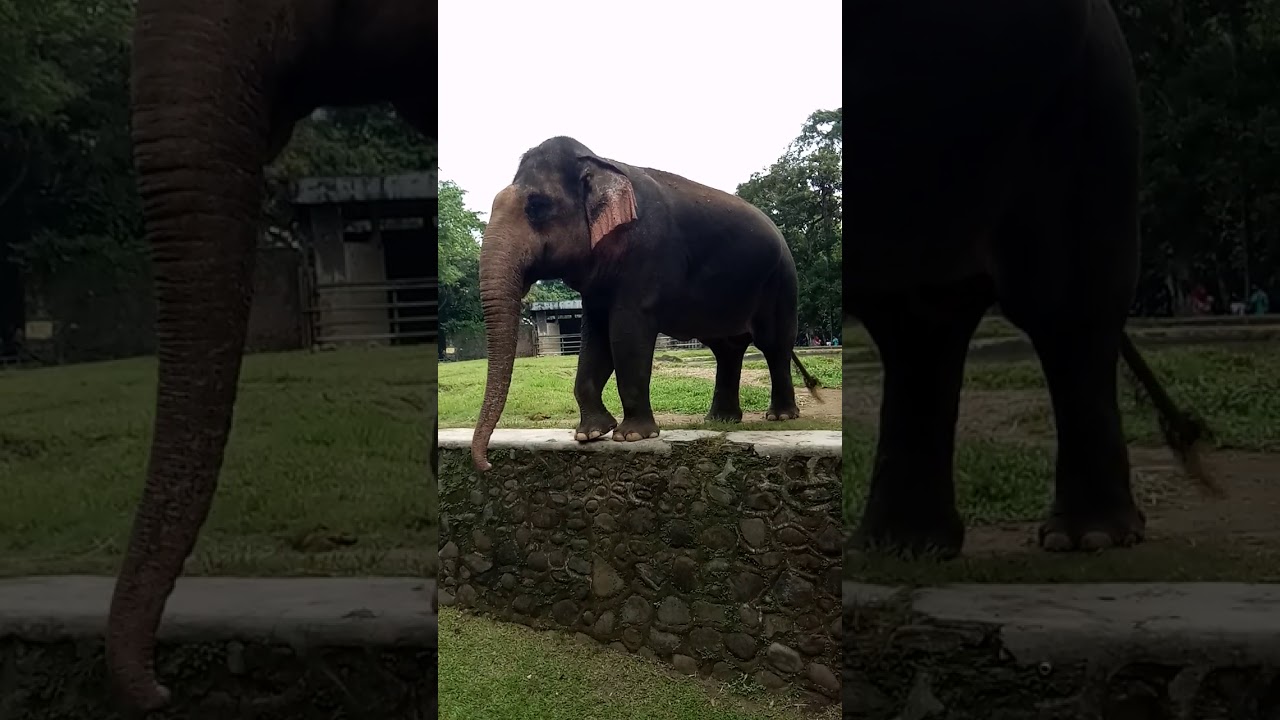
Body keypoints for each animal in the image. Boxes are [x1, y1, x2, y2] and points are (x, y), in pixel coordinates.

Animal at [471, 135, 819, 471]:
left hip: (782, 281)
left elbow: (626, 333)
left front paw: (632, 436)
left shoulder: (647, 254)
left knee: (773, 344)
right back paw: (721, 419)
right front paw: (590, 434)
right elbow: (595, 337)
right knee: (727, 349)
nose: (487, 464)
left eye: (537, 206)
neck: (599, 162)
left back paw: (780, 416)